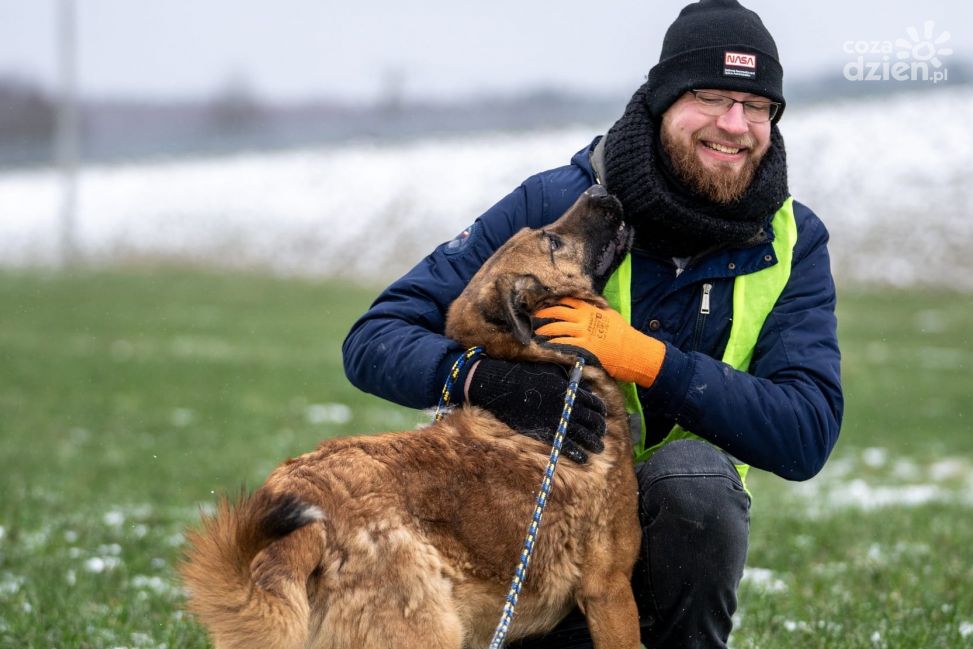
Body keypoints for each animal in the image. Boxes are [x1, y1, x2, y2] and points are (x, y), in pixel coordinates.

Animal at [179, 186, 640, 648]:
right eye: (552, 241)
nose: (599, 188)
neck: (554, 375)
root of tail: (306, 516)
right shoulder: (609, 589)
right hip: (429, 629)